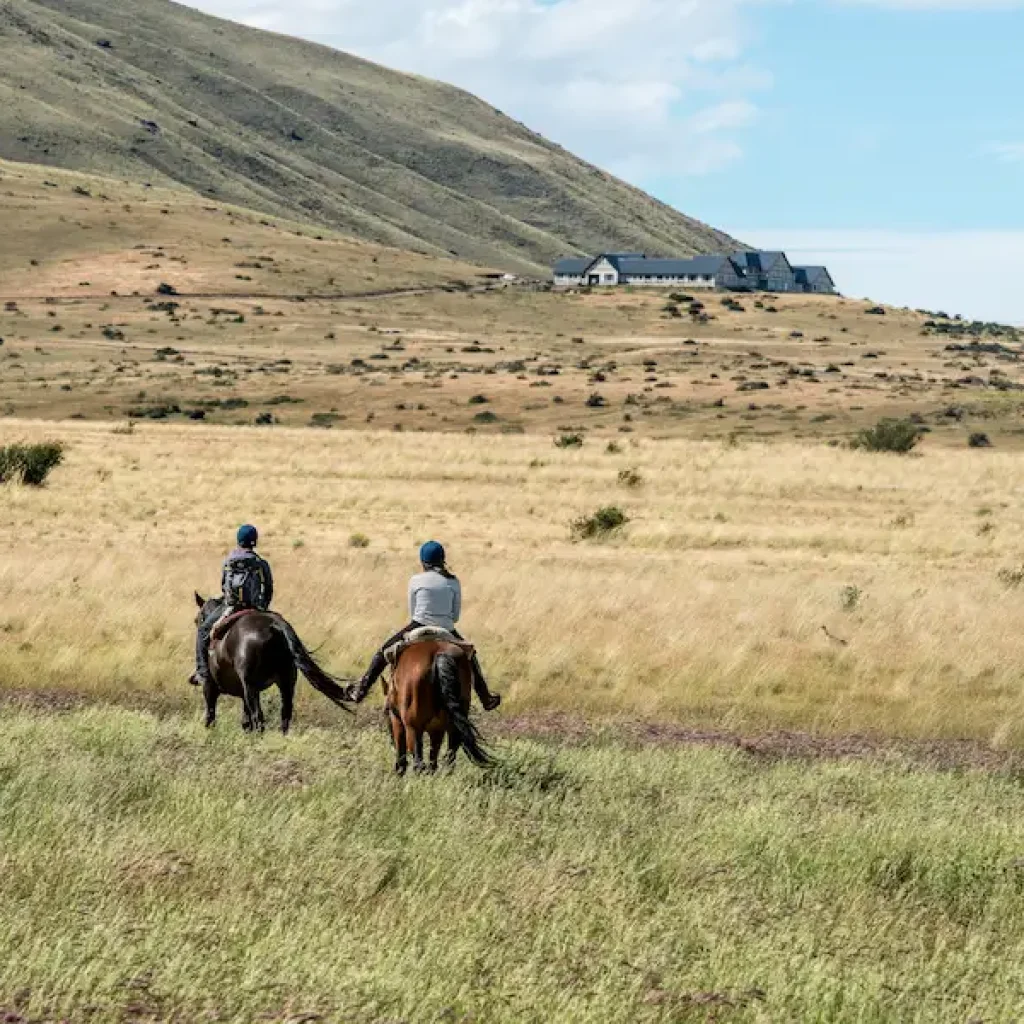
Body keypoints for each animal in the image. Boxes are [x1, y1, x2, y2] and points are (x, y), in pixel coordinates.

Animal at [192, 598, 352, 733]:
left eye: (197, 619)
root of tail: (276, 626)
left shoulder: (210, 686)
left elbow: (211, 715)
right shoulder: (243, 693)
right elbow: (245, 721)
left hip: (251, 686)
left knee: (259, 717)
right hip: (286, 683)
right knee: (285, 714)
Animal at [385, 634, 493, 770]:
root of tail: (439, 655)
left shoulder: (397, 722)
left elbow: (401, 760)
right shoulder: (436, 730)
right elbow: (433, 762)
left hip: (413, 729)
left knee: (419, 763)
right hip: (453, 727)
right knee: (449, 757)